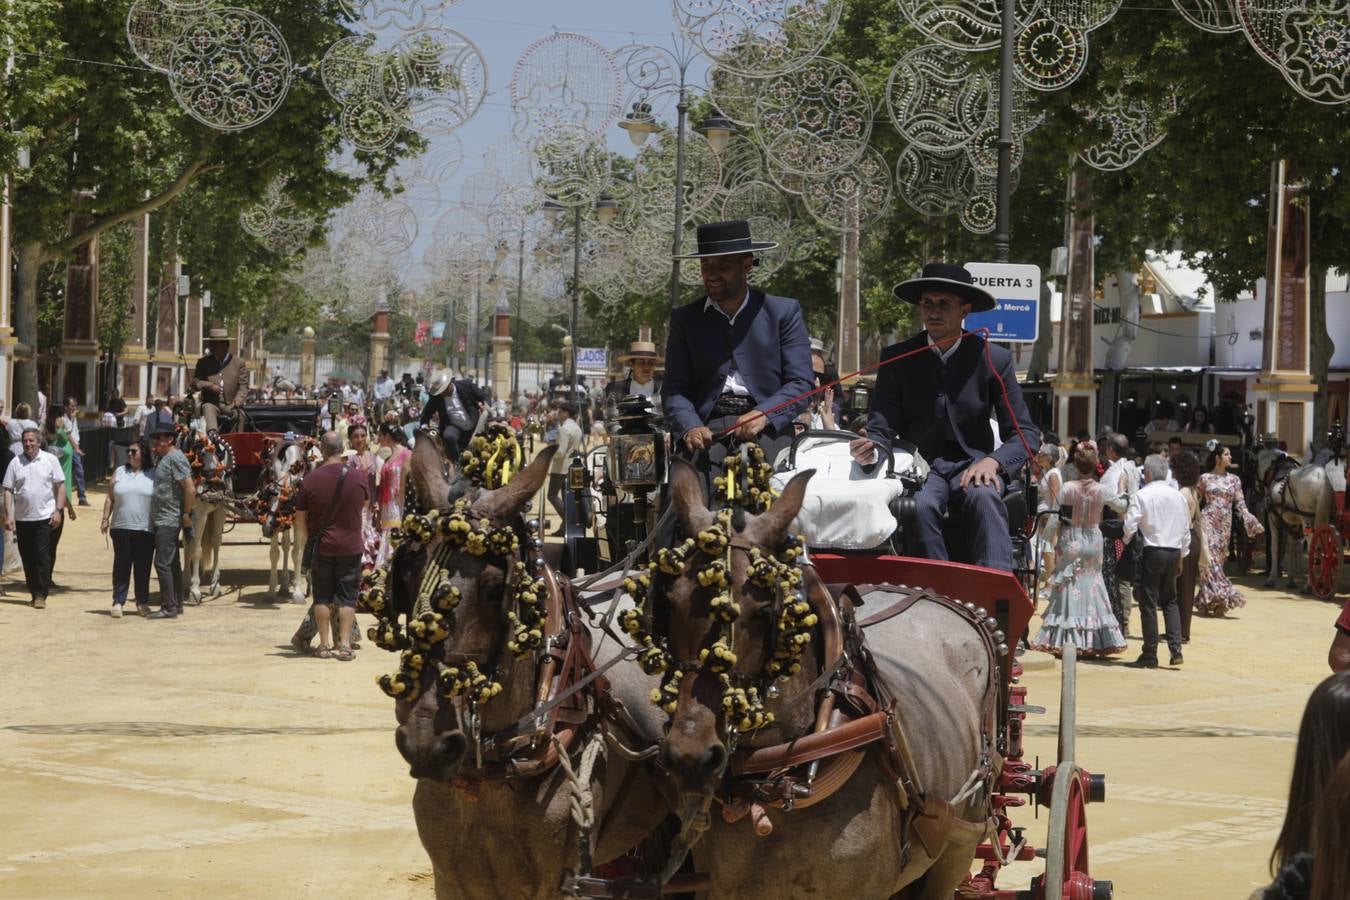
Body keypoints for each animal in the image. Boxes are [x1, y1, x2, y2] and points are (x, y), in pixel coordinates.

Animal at [255, 437, 315, 601]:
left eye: (285, 500)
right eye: (267, 493)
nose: (267, 528)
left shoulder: (298, 519)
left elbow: (297, 553)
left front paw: (298, 593)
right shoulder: (277, 522)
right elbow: (275, 553)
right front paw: (271, 591)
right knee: (287, 545)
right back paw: (284, 585)